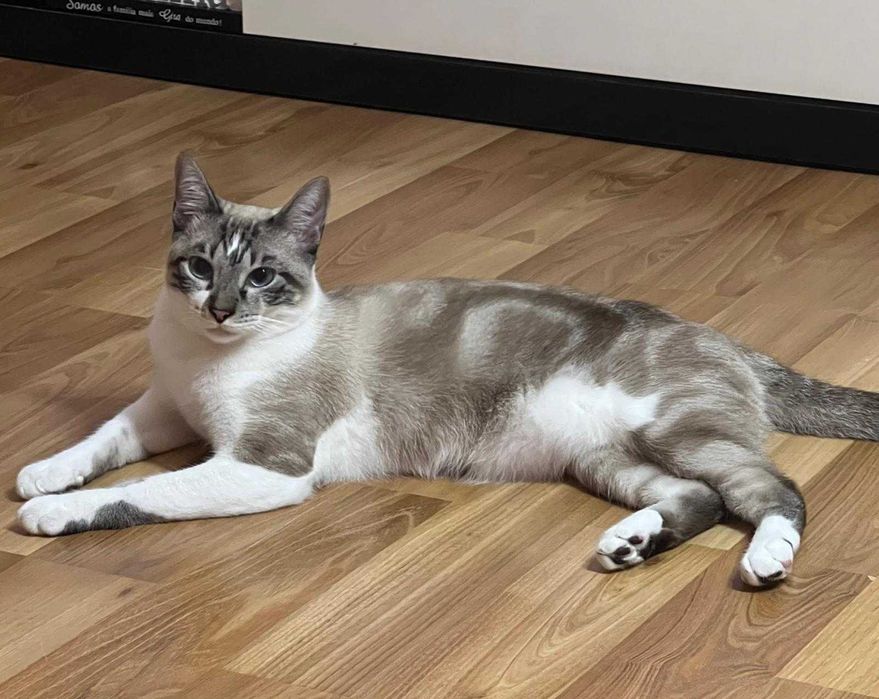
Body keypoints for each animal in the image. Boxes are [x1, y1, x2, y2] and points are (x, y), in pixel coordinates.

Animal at [17, 153, 879, 587]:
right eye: (199, 267)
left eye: (262, 277)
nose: (223, 310)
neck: (209, 363)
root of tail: (729, 338)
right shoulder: (164, 408)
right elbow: (100, 442)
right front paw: (39, 475)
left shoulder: (262, 462)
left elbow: (141, 491)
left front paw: (47, 514)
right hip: (604, 457)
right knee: (697, 499)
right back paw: (630, 544)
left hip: (673, 431)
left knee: (773, 491)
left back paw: (764, 560)